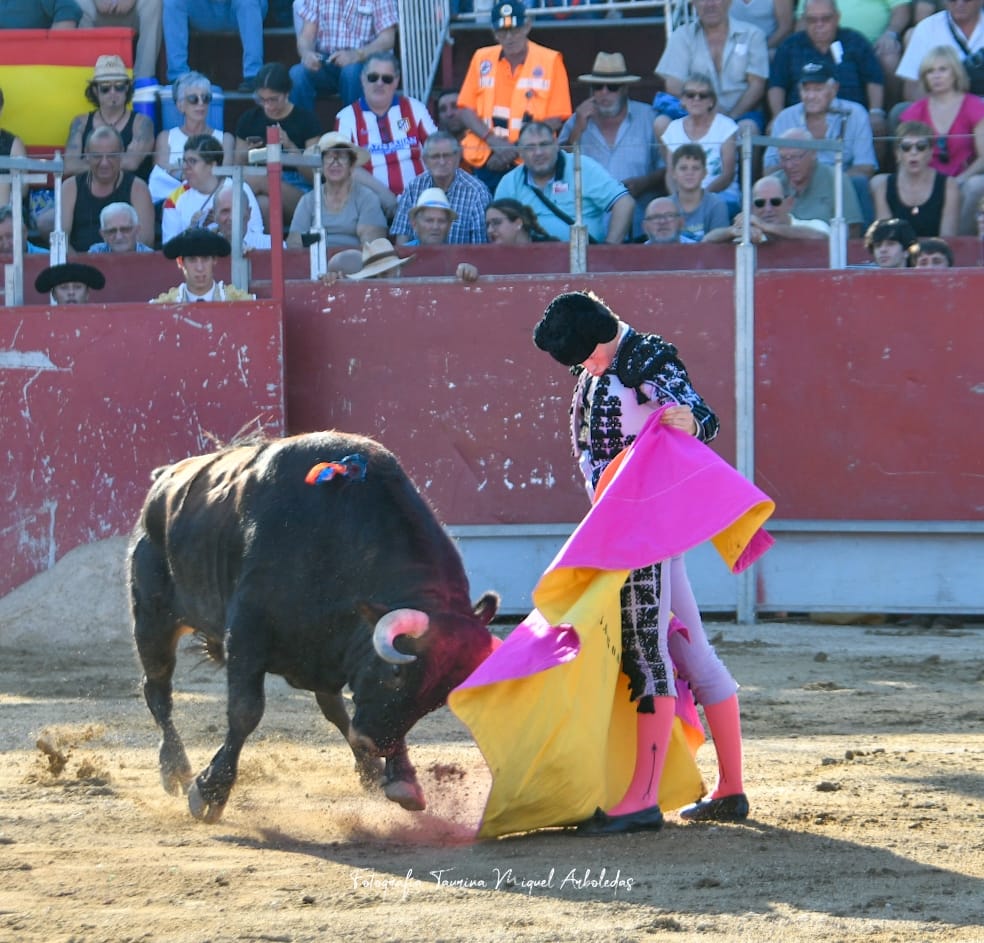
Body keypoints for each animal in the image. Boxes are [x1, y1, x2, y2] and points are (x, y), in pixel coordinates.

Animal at [129, 432, 500, 824]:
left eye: (438, 697)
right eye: (396, 673)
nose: (372, 742)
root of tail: (163, 479)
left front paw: (402, 779)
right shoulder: (245, 635)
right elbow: (245, 711)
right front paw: (210, 791)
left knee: (333, 706)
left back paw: (368, 769)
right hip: (153, 619)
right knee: (157, 690)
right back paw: (175, 769)